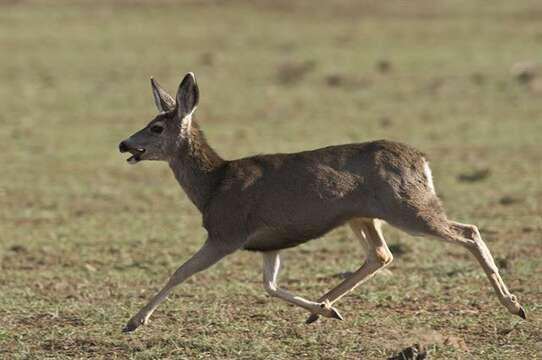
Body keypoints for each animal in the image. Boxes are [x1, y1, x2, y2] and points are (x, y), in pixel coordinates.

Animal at [118, 71, 528, 332]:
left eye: (156, 127)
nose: (124, 144)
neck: (213, 186)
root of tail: (422, 162)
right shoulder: (268, 242)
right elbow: (270, 286)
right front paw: (323, 311)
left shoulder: (227, 232)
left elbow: (180, 271)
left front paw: (134, 322)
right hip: (364, 216)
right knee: (381, 254)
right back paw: (324, 308)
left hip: (408, 206)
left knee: (468, 231)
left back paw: (515, 305)